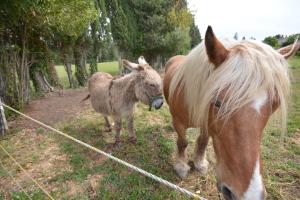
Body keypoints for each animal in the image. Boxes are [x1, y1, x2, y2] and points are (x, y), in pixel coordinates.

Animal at [164, 25, 298, 199]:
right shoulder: (179, 122)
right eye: (217, 103)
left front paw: (199, 163)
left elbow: (203, 141)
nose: (249, 195)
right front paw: (181, 166)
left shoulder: (207, 123)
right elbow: (183, 142)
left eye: (274, 105)